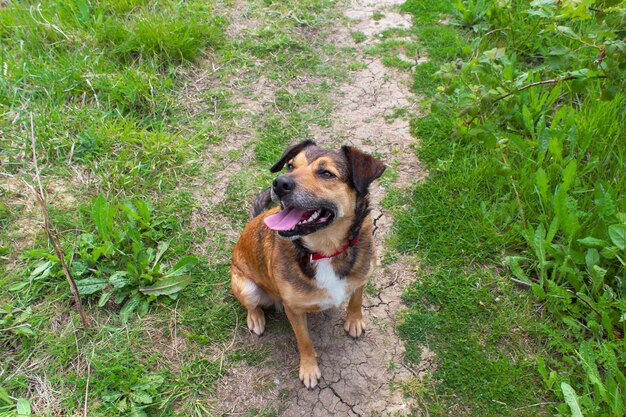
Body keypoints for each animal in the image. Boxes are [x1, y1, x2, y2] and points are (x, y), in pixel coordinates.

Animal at [230, 140, 386, 386]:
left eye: (326, 173)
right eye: (290, 165)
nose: (279, 183)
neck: (324, 252)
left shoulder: (362, 276)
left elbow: (356, 300)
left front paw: (354, 321)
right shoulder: (293, 310)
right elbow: (304, 341)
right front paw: (309, 369)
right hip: (247, 287)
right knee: (252, 305)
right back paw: (256, 319)